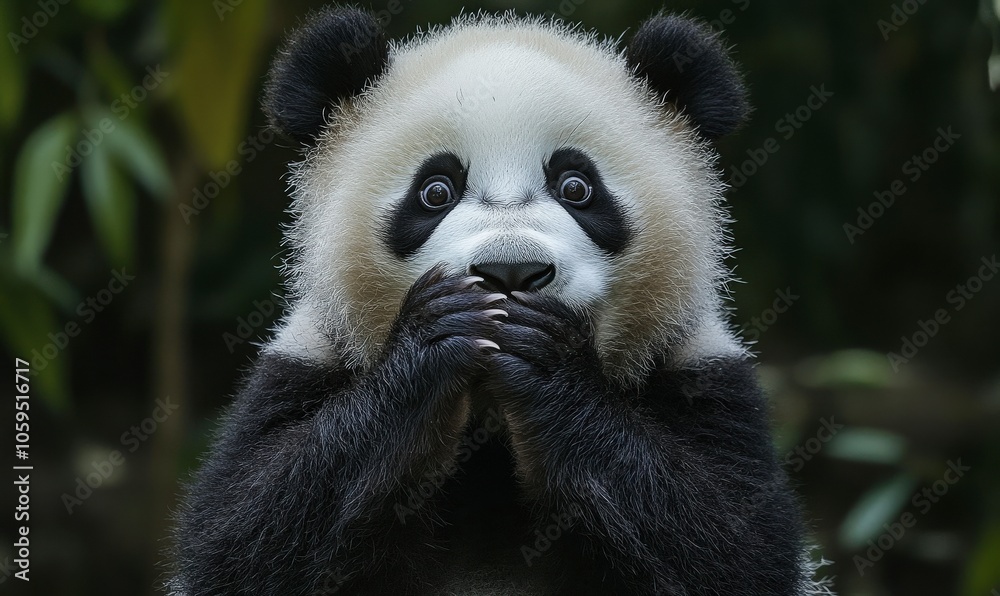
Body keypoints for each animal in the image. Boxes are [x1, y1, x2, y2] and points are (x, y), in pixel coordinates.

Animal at [172, 6, 833, 596]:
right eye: (436, 191)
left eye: (576, 187)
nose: (510, 270)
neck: (490, 426)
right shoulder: (305, 363)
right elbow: (242, 535)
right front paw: (437, 337)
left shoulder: (700, 370)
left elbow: (734, 542)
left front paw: (547, 359)